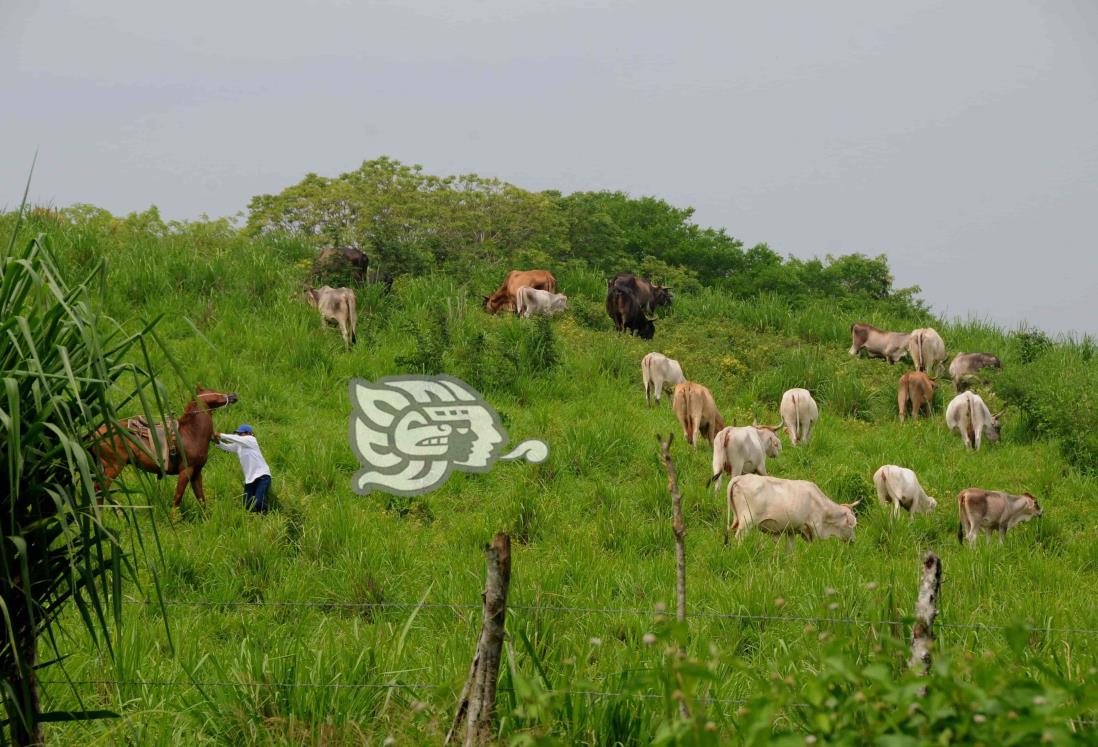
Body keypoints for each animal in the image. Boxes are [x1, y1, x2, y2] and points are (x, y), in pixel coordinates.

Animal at [92, 384, 238, 507]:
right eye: (212, 391)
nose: (234, 395)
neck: (191, 433)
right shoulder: (186, 471)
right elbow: (177, 498)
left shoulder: (196, 472)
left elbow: (201, 499)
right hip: (114, 466)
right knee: (99, 490)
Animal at [724, 474, 860, 544]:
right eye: (852, 526)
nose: (853, 541)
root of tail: (741, 477)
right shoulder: (814, 528)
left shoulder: (791, 531)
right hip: (746, 522)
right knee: (738, 539)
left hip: (738, 520)